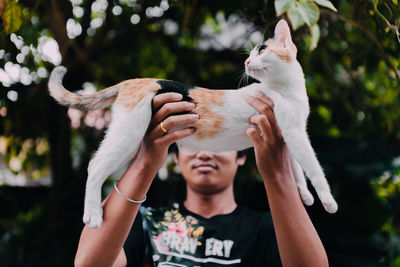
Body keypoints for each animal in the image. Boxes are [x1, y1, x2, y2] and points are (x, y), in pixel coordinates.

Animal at [49, 19, 338, 228]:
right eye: (252, 54)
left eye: (262, 51)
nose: (246, 61)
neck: (285, 88)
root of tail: (135, 80)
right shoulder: (295, 132)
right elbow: (314, 168)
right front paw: (327, 200)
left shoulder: (285, 135)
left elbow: (297, 169)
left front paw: (304, 195)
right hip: (128, 134)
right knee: (95, 166)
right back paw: (93, 215)